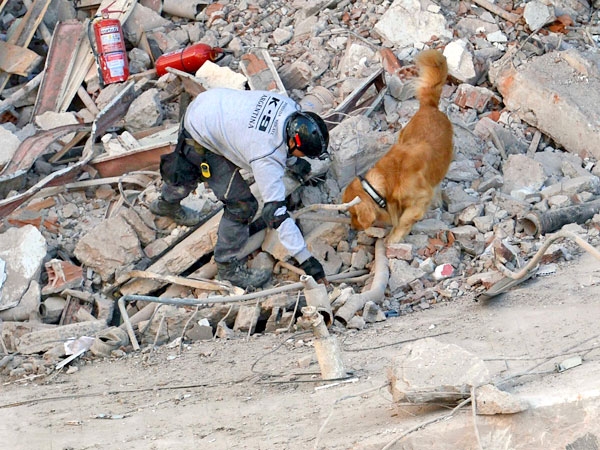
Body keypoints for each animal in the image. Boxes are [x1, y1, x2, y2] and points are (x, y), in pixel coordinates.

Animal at [340, 49, 452, 244]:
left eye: (353, 213)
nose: (353, 227)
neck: (388, 178)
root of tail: (429, 106)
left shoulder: (420, 199)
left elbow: (404, 220)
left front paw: (394, 237)